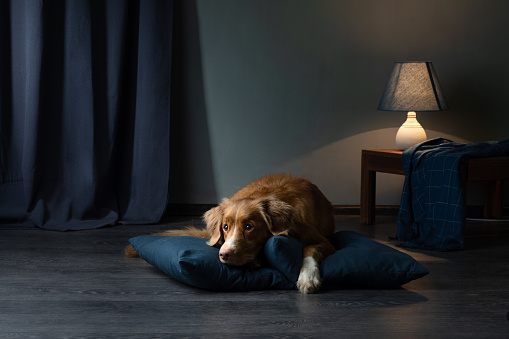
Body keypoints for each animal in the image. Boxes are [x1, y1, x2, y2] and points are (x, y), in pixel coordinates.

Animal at [125, 175, 336, 294]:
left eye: (249, 227)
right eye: (225, 227)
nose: (224, 255)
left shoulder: (325, 242)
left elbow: (309, 249)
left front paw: (308, 277)